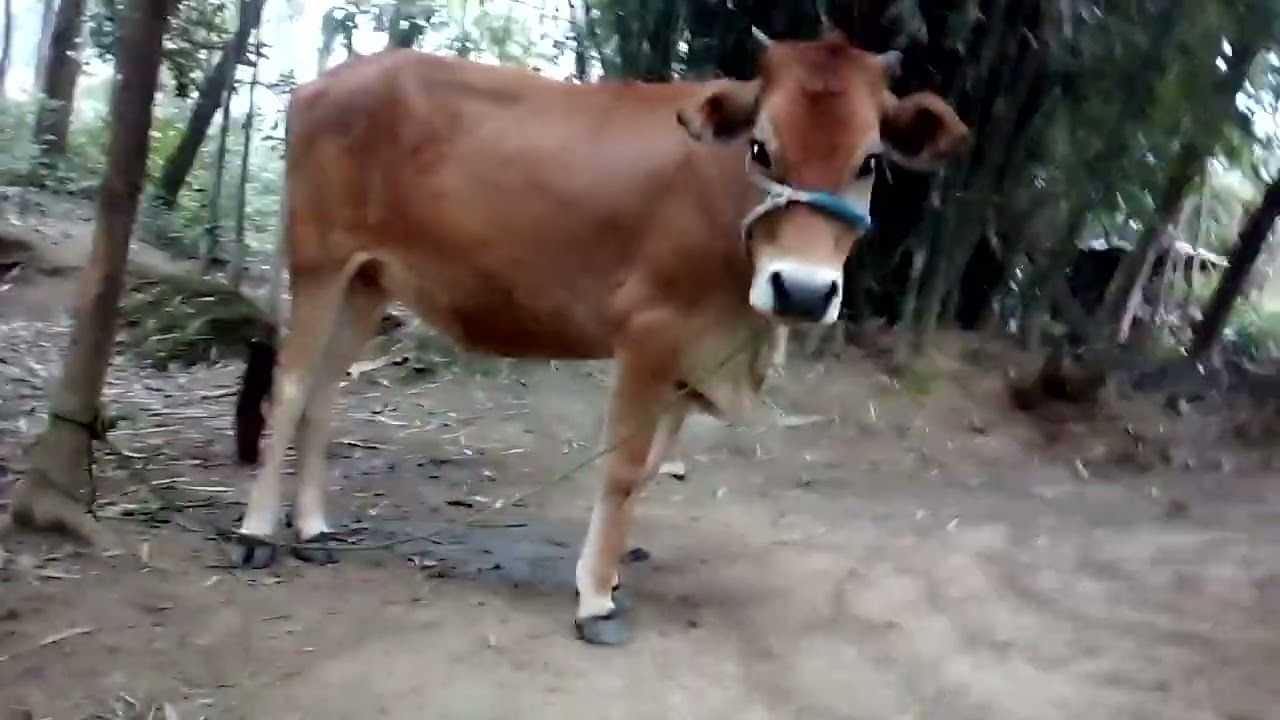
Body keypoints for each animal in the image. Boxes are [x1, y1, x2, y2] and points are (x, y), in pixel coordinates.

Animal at [230, 28, 969, 646]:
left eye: (869, 162)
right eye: (761, 148)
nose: (804, 291)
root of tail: (323, 83)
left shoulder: (689, 355)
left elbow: (647, 471)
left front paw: (610, 572)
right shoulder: (649, 330)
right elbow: (621, 469)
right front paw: (595, 601)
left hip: (369, 279)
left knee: (326, 391)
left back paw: (315, 528)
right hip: (320, 259)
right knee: (291, 386)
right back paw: (258, 532)